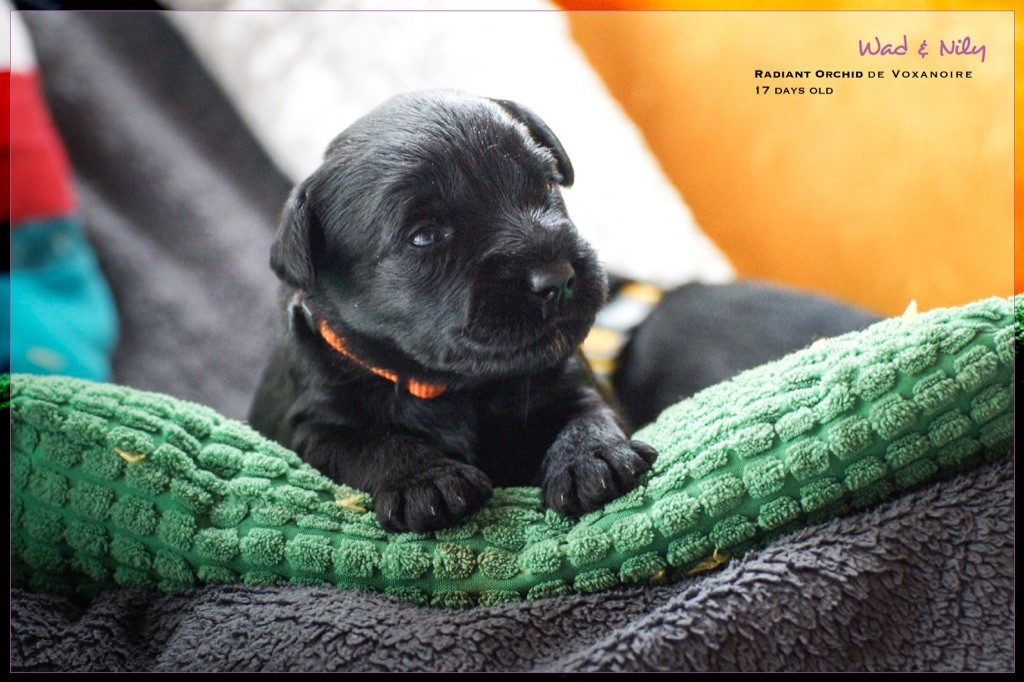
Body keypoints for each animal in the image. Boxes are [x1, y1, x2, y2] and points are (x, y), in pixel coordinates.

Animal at [250, 90, 656, 533]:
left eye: (547, 180)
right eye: (425, 236)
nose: (558, 277)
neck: (454, 386)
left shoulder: (570, 377)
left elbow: (588, 410)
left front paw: (593, 456)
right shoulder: (314, 427)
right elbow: (372, 445)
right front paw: (426, 479)